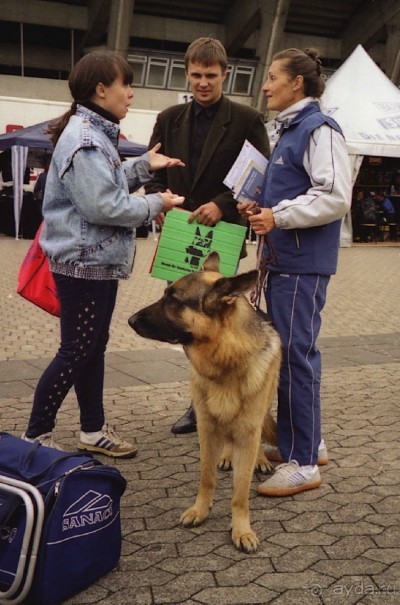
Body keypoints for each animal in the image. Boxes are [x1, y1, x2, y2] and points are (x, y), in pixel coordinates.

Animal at [128, 251, 282, 552]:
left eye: (173, 300)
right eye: (165, 294)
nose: (130, 320)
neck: (226, 359)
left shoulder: (248, 429)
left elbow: (240, 491)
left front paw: (241, 529)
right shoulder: (206, 427)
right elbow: (206, 476)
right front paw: (200, 510)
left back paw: (258, 458)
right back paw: (227, 456)